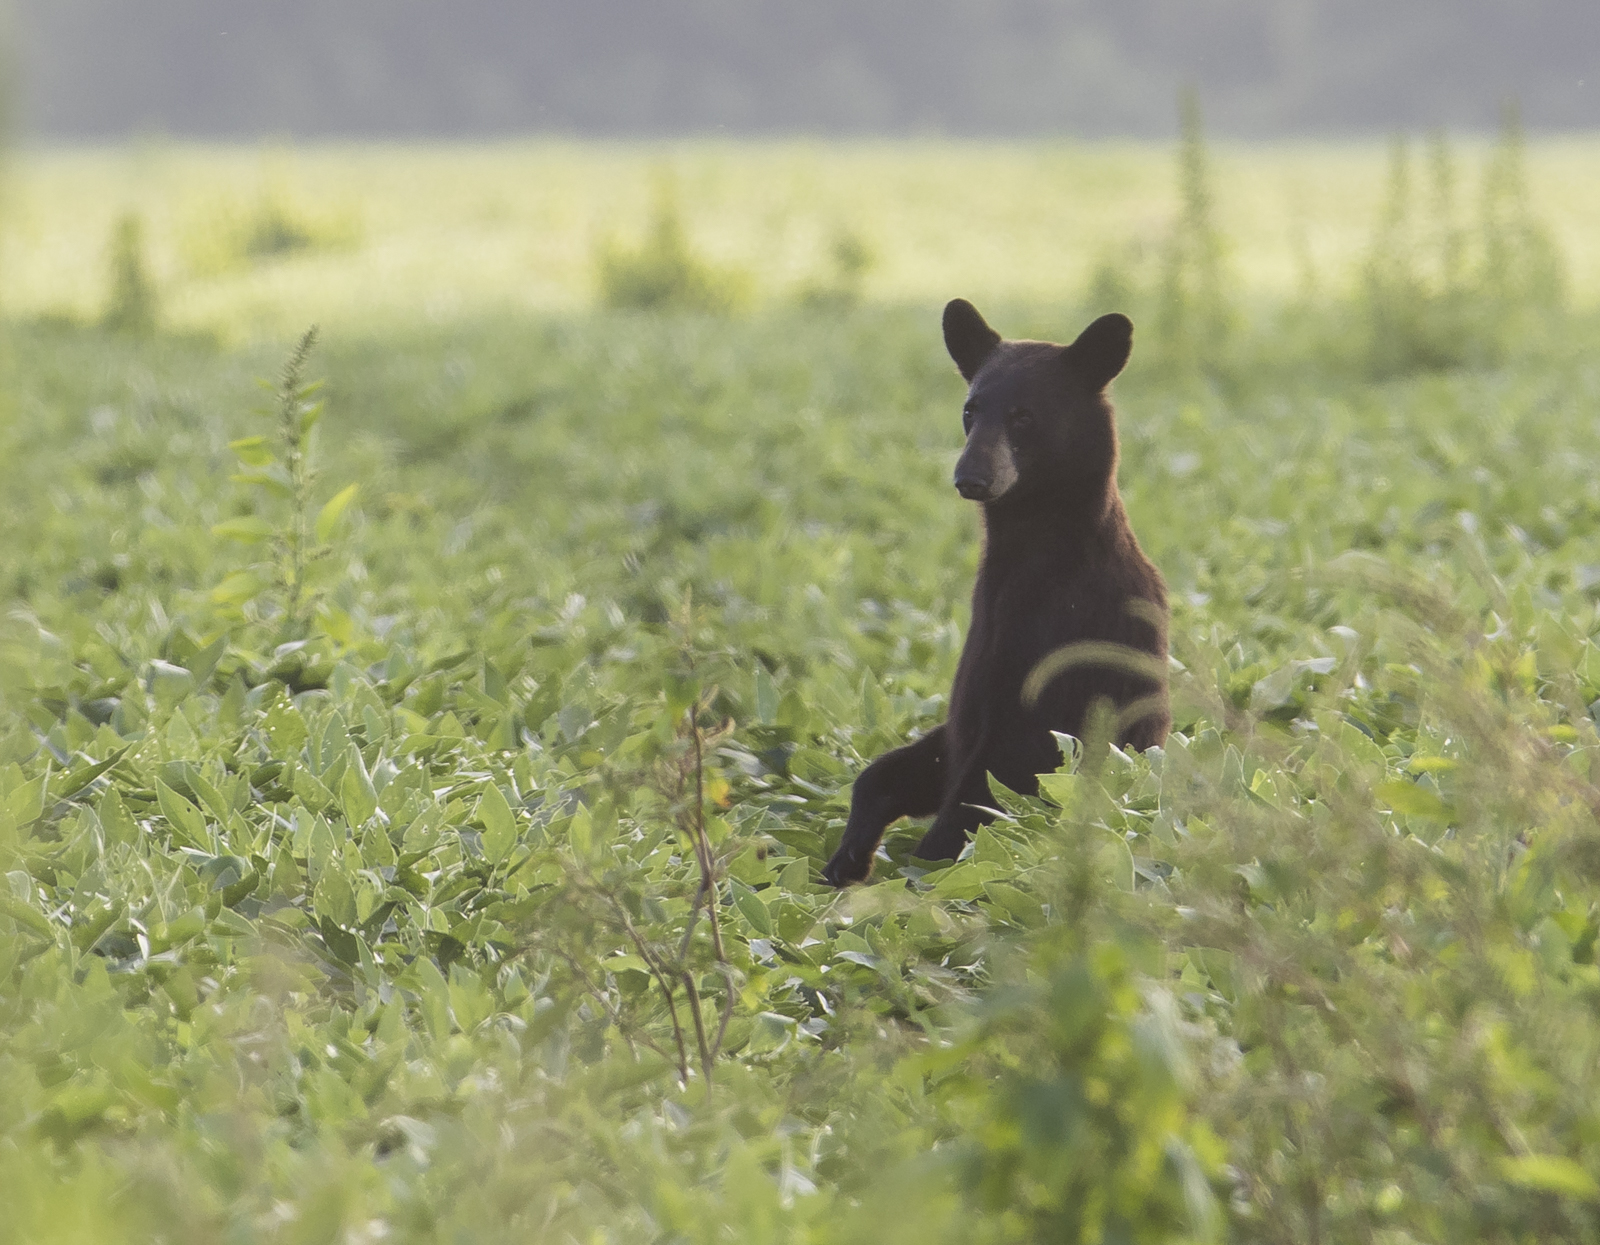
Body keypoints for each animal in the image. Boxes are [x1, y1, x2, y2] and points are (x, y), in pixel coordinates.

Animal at [821, 299, 1170, 887]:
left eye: (1023, 416)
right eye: (971, 409)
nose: (970, 476)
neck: (1029, 554)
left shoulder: (1065, 644)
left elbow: (1006, 772)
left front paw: (926, 871)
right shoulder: (981, 653)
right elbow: (922, 761)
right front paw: (844, 859)